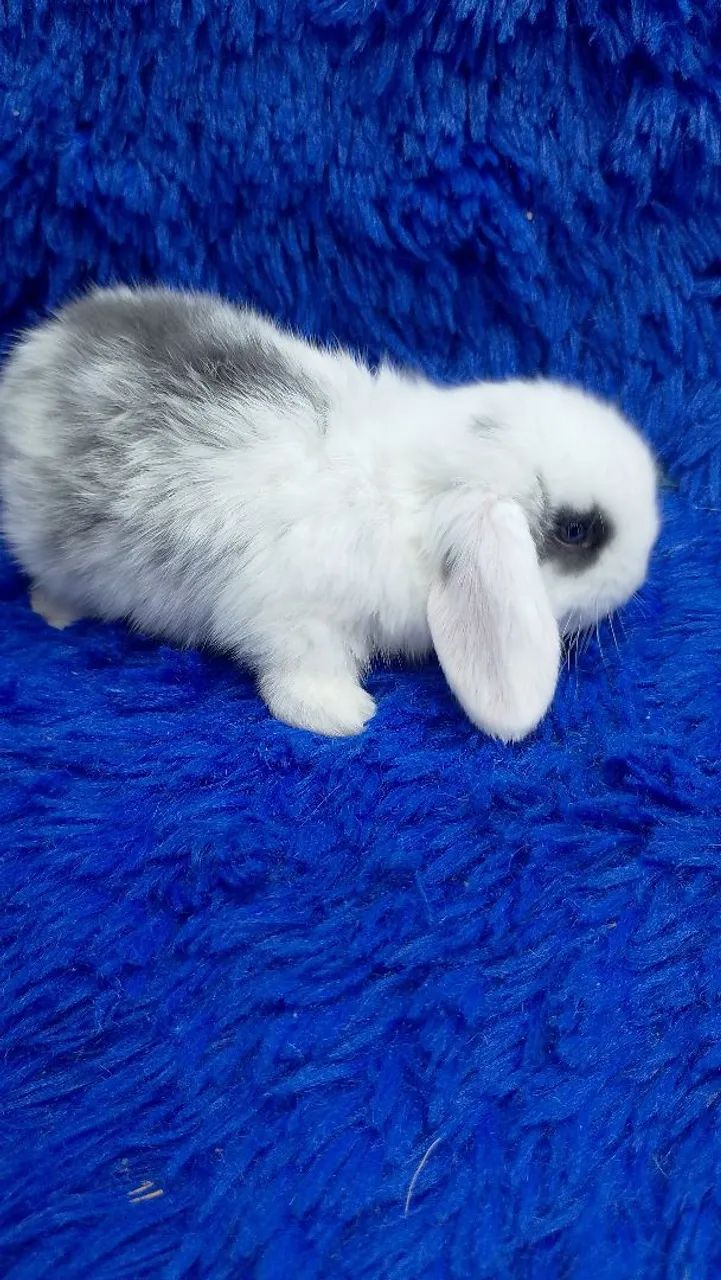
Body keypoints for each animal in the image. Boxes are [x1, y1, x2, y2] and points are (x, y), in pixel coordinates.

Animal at [0, 285, 660, 739]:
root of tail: (36, 356)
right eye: (578, 531)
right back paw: (55, 611)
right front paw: (345, 715)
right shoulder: (294, 618)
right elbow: (300, 668)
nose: (643, 568)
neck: (409, 493)